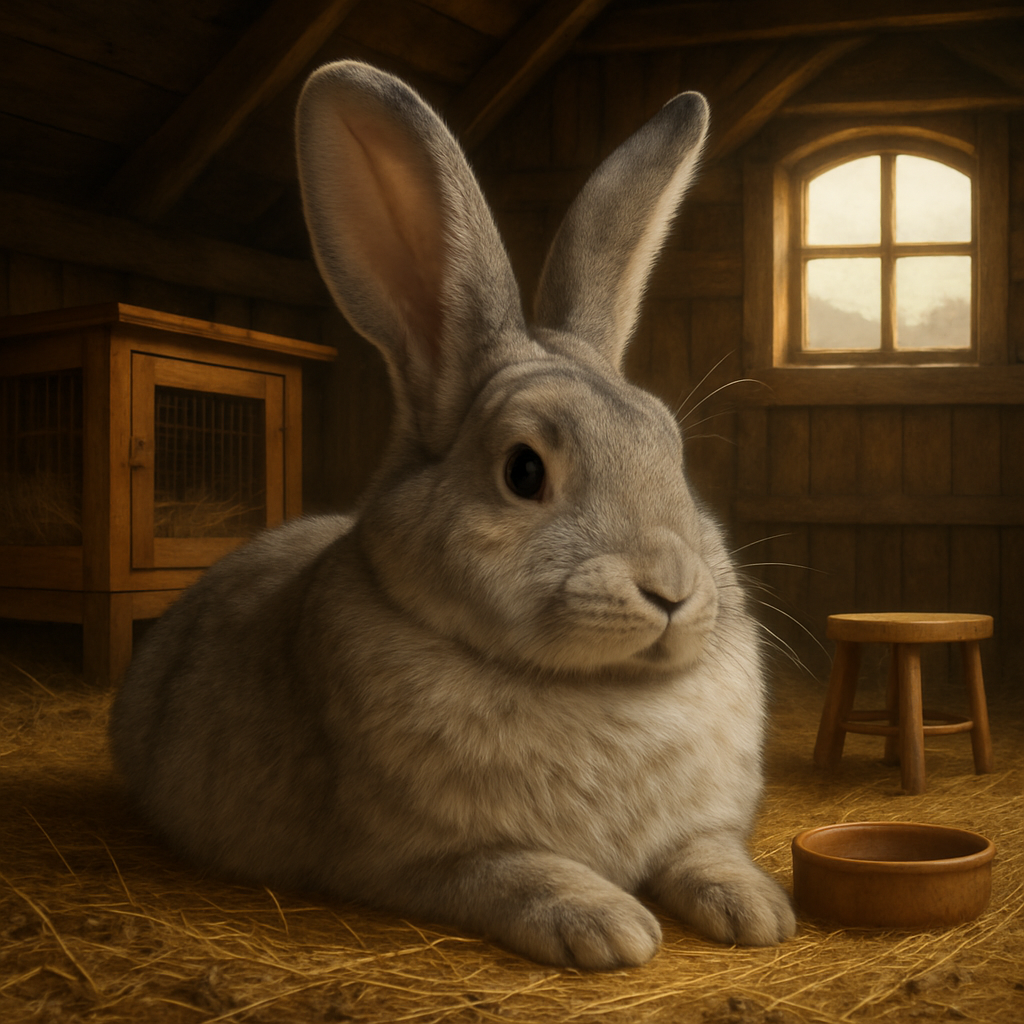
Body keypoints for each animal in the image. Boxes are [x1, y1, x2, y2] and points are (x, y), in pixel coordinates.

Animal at [109, 59, 796, 970]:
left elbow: (707, 850)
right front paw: (608, 926)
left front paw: (760, 910)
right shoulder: (417, 858)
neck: (599, 687)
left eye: (672, 452)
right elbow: (514, 871)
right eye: (523, 471)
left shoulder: (702, 826)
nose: (673, 589)